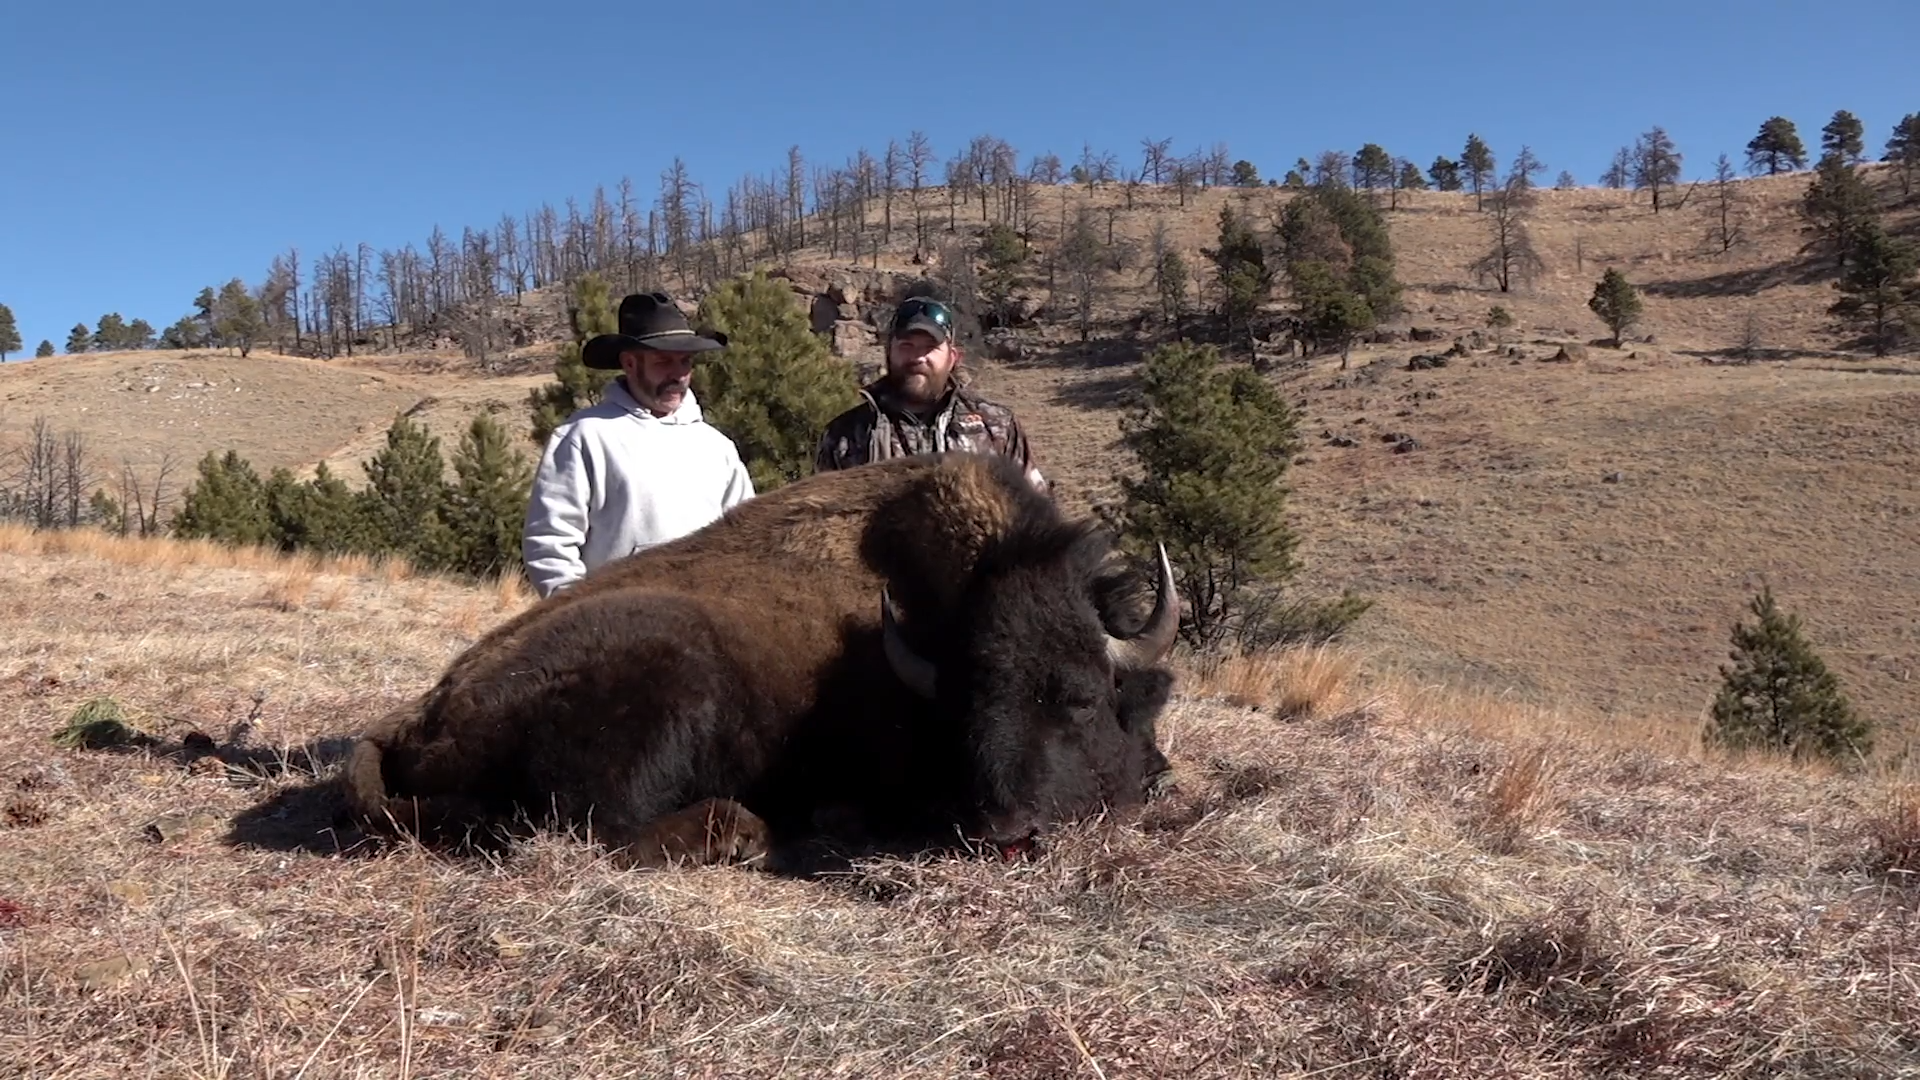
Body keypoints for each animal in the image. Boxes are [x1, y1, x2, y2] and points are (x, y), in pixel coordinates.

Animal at [342, 452, 1181, 869]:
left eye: (1079, 695)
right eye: (965, 711)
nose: (1007, 830)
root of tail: (418, 718)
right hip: (670, 674)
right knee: (585, 829)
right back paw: (743, 832)